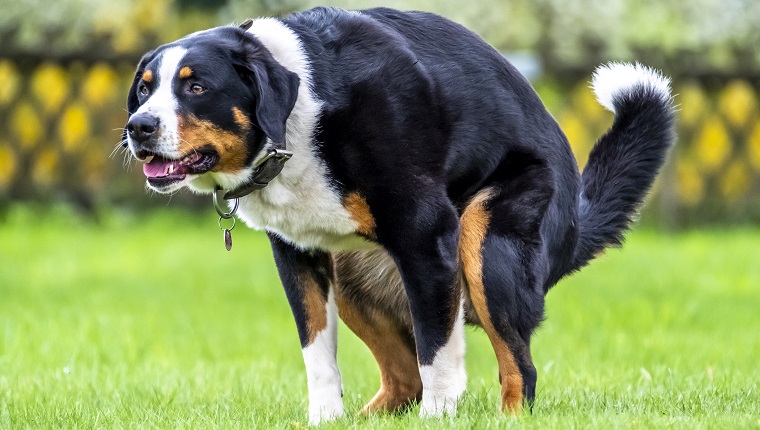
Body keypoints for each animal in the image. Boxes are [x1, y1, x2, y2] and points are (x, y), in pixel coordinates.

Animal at [124, 5, 676, 424]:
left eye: (197, 87)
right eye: (145, 89)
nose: (138, 126)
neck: (302, 117)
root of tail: (576, 217)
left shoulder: (426, 237)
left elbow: (439, 356)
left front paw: (439, 418)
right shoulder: (298, 254)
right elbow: (318, 356)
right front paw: (325, 420)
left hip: (486, 246)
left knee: (518, 369)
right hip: (353, 277)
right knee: (403, 379)